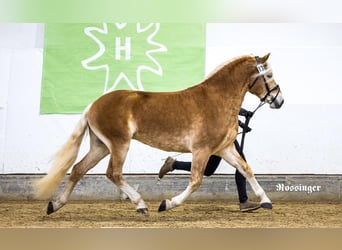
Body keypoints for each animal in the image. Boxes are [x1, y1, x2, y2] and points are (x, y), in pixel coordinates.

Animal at [34, 52, 284, 215]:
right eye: (269, 75)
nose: (279, 100)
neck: (217, 99)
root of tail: (93, 105)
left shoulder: (224, 148)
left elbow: (246, 169)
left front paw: (266, 201)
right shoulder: (202, 150)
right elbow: (195, 181)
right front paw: (166, 204)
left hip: (101, 146)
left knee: (78, 169)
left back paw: (55, 205)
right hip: (119, 144)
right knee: (113, 173)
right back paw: (141, 205)